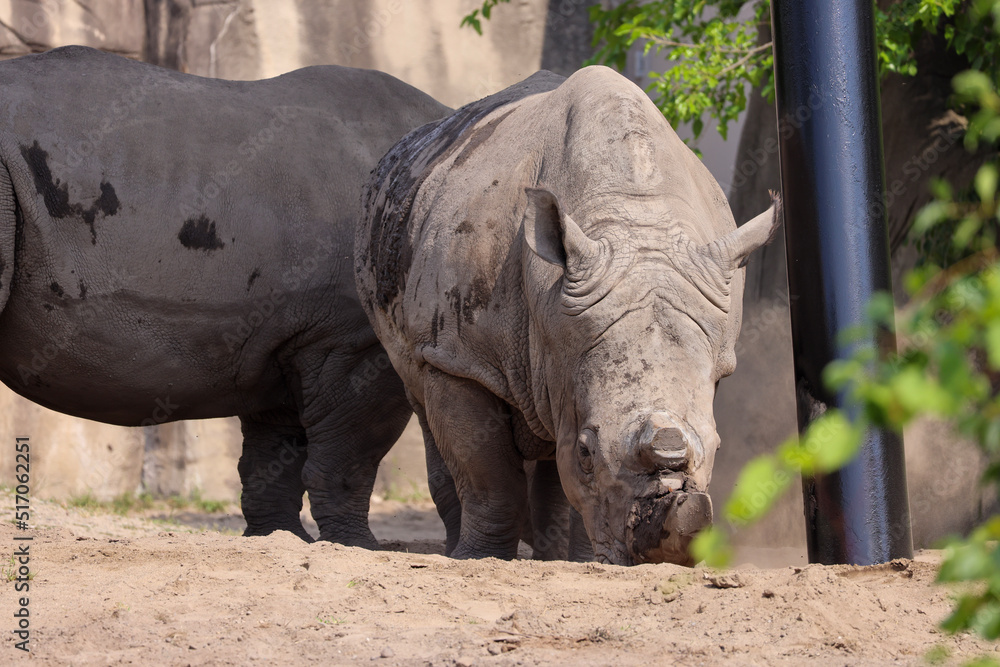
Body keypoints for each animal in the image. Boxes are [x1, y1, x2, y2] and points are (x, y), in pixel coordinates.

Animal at [0, 46, 450, 546]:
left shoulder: (286, 333)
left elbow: (275, 456)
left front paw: (278, 539)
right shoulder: (355, 339)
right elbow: (351, 453)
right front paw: (354, 546)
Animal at [356, 66, 779, 565]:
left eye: (717, 447)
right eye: (586, 452)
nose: (657, 559)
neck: (635, 220)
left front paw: (583, 561)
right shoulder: (460, 357)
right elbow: (487, 474)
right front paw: (479, 559)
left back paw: (555, 556)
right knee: (424, 402)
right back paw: (458, 548)